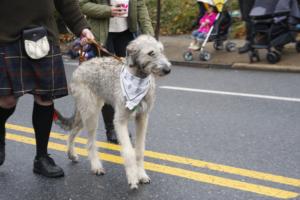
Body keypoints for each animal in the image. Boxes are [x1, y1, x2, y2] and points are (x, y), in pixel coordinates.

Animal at [54, 35, 171, 190]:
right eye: (151, 53)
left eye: (162, 51)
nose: (168, 69)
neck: (139, 79)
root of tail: (80, 66)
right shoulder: (120, 121)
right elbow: (128, 151)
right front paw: (133, 177)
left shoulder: (142, 118)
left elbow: (139, 150)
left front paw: (141, 174)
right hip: (91, 114)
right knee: (90, 142)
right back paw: (96, 166)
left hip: (85, 113)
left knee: (72, 132)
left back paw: (71, 154)